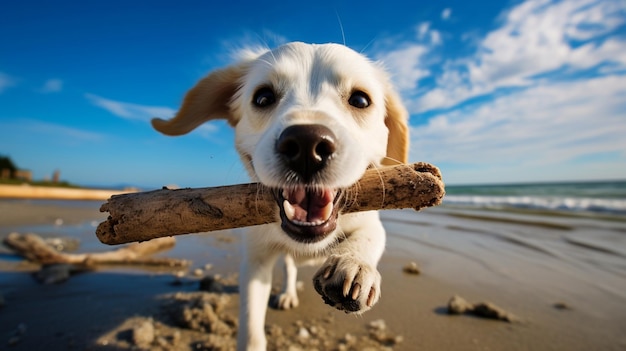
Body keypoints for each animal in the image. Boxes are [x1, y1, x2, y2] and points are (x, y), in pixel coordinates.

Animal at [149, 40, 408, 350]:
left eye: (360, 100)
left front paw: (354, 265)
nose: (307, 145)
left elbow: (368, 238)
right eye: (263, 98)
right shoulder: (256, 261)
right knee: (289, 268)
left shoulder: (369, 220)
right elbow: (251, 330)